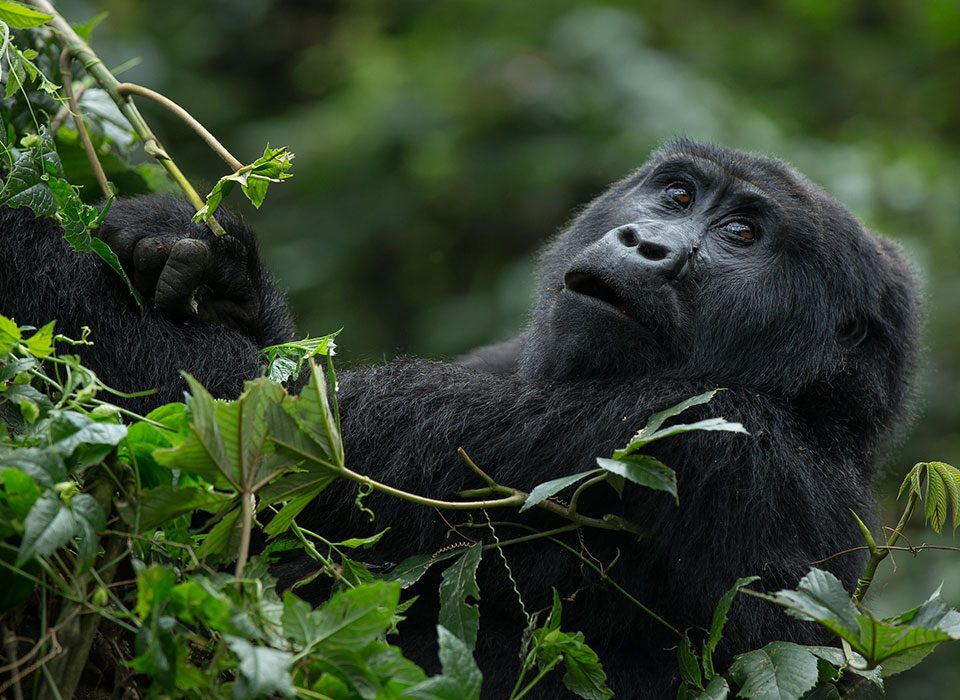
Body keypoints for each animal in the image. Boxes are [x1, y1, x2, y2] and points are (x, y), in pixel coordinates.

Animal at [0, 139, 920, 696]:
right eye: (678, 192)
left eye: (742, 234)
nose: (647, 244)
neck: (819, 405)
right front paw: (214, 274)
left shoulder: (702, 437)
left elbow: (274, 448)